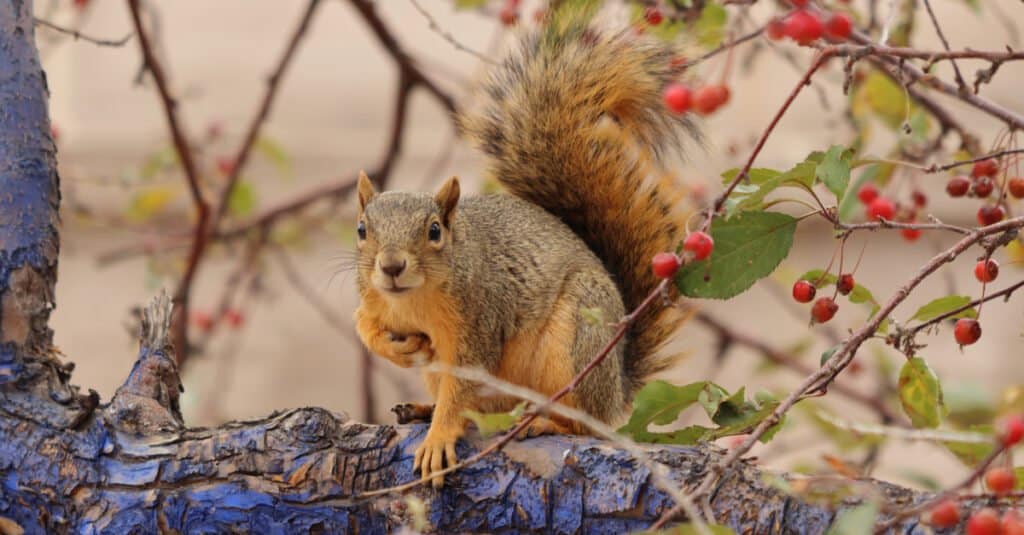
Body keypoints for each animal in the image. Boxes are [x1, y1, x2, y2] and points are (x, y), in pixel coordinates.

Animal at [352, 18, 696, 485]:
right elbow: (364, 325)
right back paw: (423, 408)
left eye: (435, 231)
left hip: (576, 344)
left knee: (584, 424)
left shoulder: (479, 322)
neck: (413, 301)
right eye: (361, 229)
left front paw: (439, 437)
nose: (390, 267)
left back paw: (542, 421)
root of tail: (616, 390)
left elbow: (464, 384)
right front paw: (394, 349)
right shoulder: (376, 302)